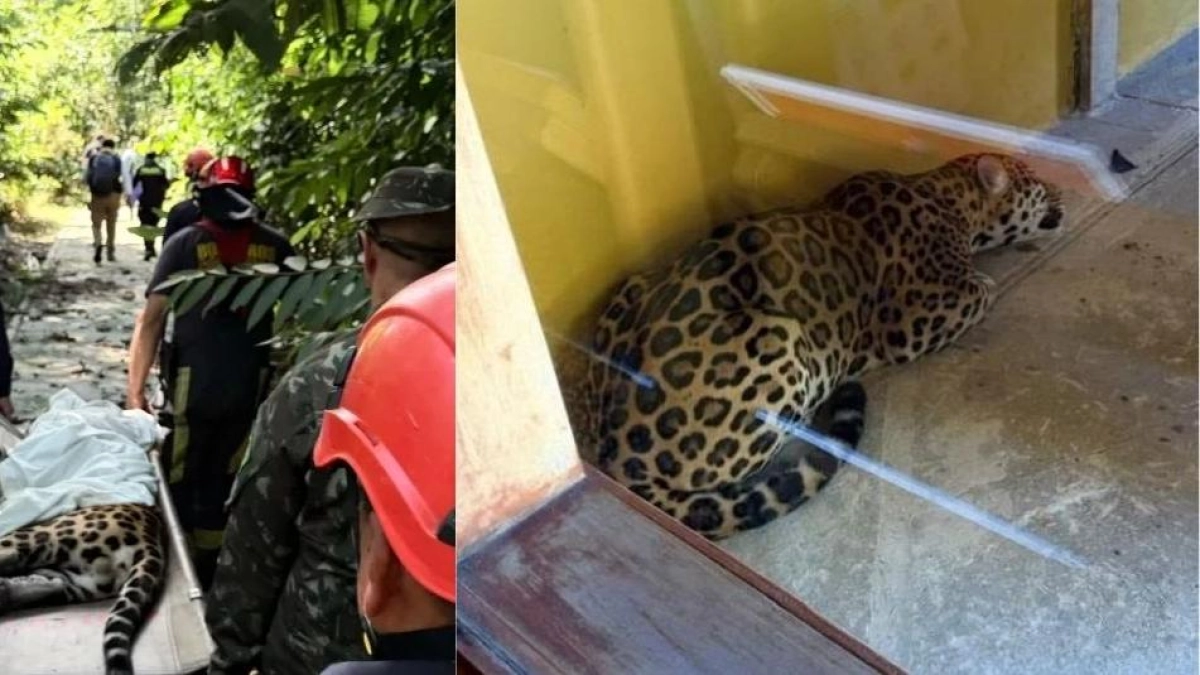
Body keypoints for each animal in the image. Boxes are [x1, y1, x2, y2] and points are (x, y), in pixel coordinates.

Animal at [0, 503, 167, 675]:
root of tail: (151, 531)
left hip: (42, 535)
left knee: (15, 555)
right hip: (81, 582)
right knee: (53, 585)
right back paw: (7, 588)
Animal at [575, 153, 1064, 539]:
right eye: (1037, 181)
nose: (1062, 189)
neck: (948, 196)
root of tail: (616, 457)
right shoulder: (915, 320)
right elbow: (983, 289)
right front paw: (988, 278)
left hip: (631, 286)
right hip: (781, 338)